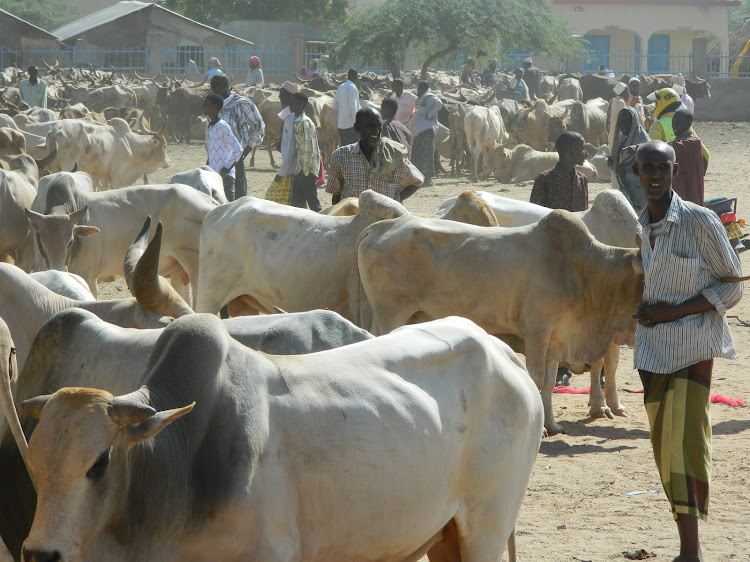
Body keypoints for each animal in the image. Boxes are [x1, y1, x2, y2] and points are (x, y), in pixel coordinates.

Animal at [356, 210, 644, 434]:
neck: (584, 270)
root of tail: (378, 227)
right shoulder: (537, 329)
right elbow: (537, 379)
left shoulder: (556, 338)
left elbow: (551, 381)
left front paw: (552, 425)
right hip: (390, 313)